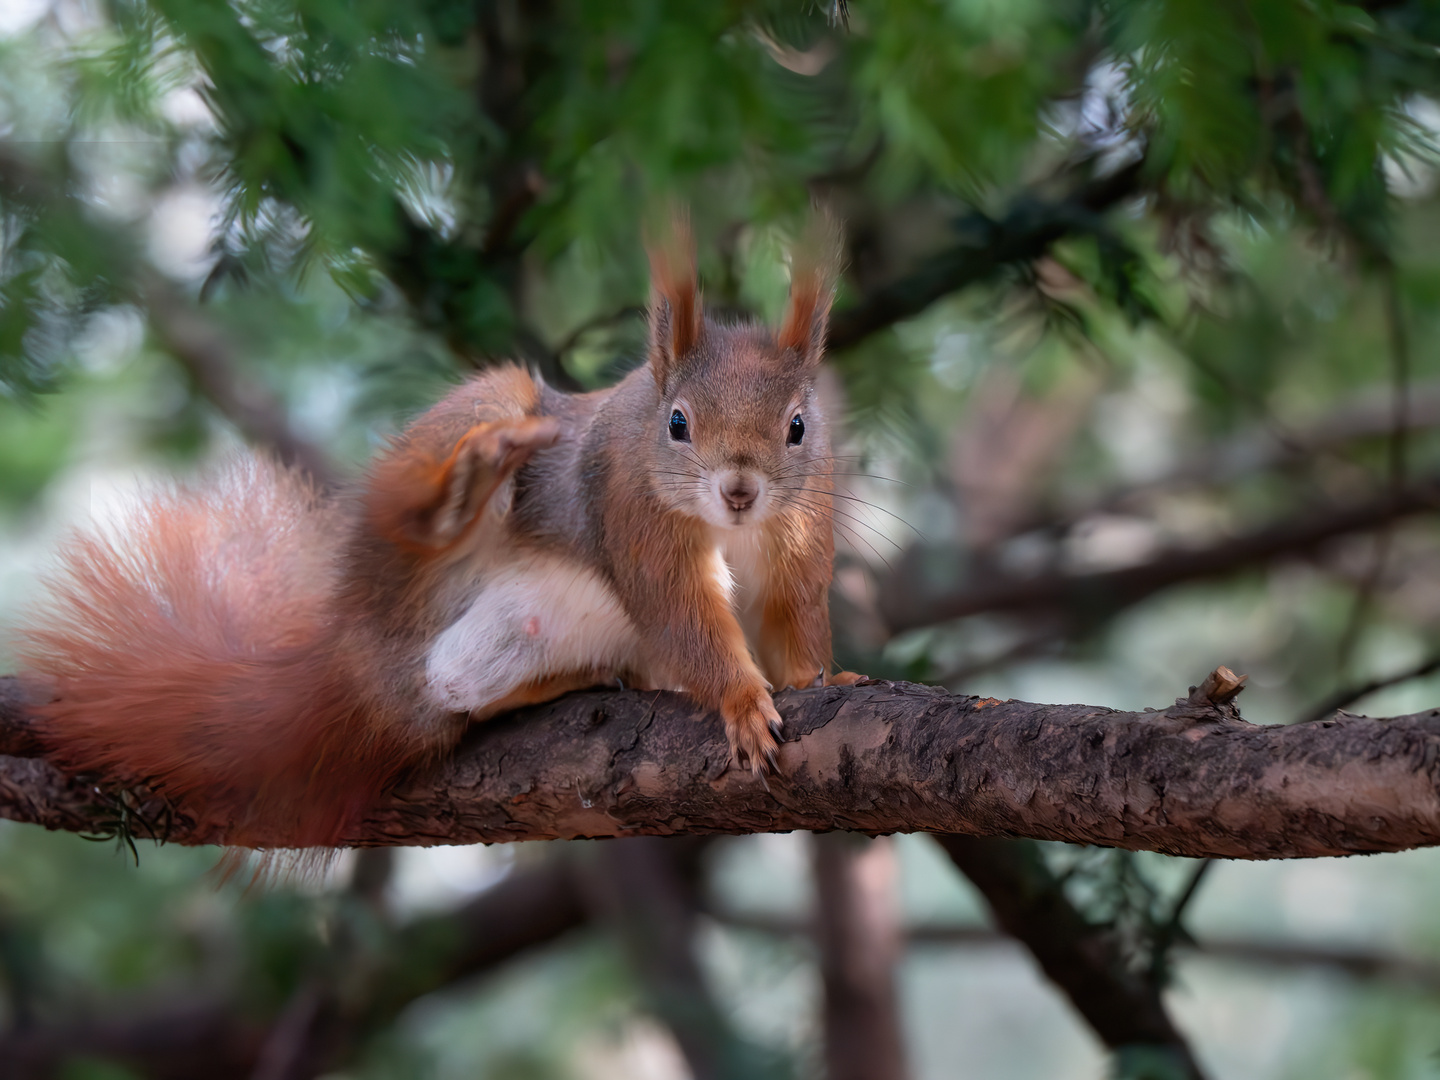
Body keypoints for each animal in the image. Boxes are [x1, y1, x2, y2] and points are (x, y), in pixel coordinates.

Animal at [14, 216, 852, 852]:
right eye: (677, 423)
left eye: (798, 426)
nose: (739, 491)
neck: (732, 529)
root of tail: (358, 655)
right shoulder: (631, 519)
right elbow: (685, 619)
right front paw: (742, 701)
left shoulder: (800, 538)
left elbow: (793, 619)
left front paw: (823, 677)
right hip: (460, 469)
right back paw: (465, 488)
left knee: (457, 690)